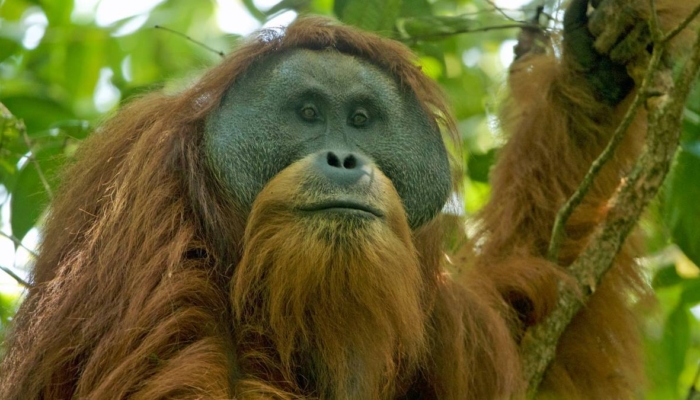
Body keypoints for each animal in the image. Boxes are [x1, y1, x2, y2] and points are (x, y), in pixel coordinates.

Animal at [0, 0, 695, 398]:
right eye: (308, 113)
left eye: (361, 120)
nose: (343, 158)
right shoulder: (143, 201)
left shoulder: (440, 320)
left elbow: (535, 337)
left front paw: (598, 66)